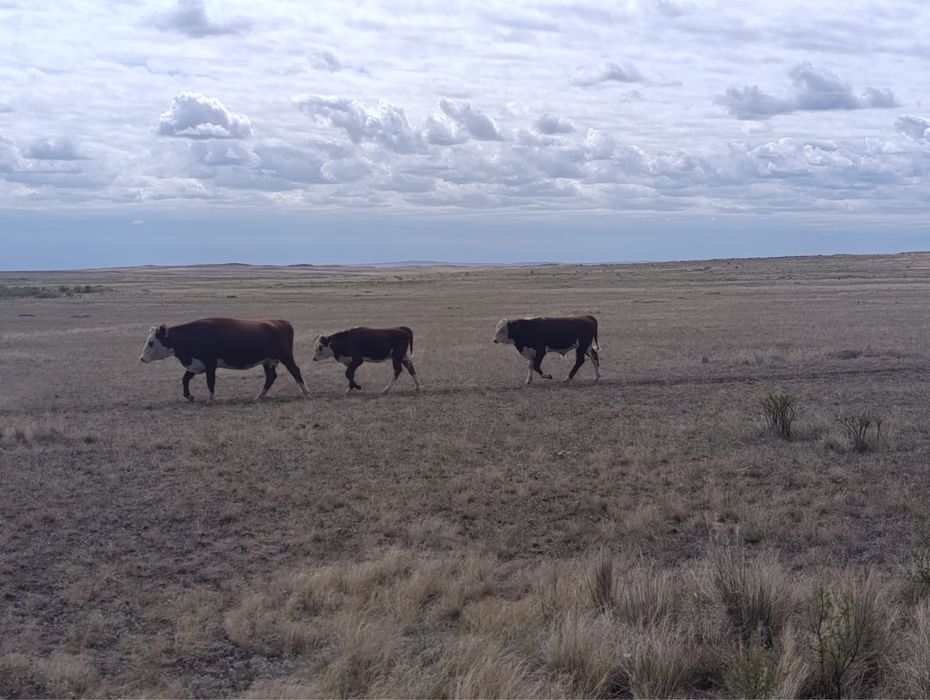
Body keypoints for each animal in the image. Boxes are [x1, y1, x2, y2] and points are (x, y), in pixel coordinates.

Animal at [139, 318, 310, 402]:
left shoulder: (210, 364)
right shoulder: (195, 365)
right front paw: (190, 396)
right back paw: (259, 397)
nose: (141, 358)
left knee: (295, 371)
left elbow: (210, 381)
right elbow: (185, 379)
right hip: (268, 361)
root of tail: (282, 323)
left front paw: (211, 399)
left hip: (286, 357)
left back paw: (306, 393)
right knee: (271, 377)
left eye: (151, 342)